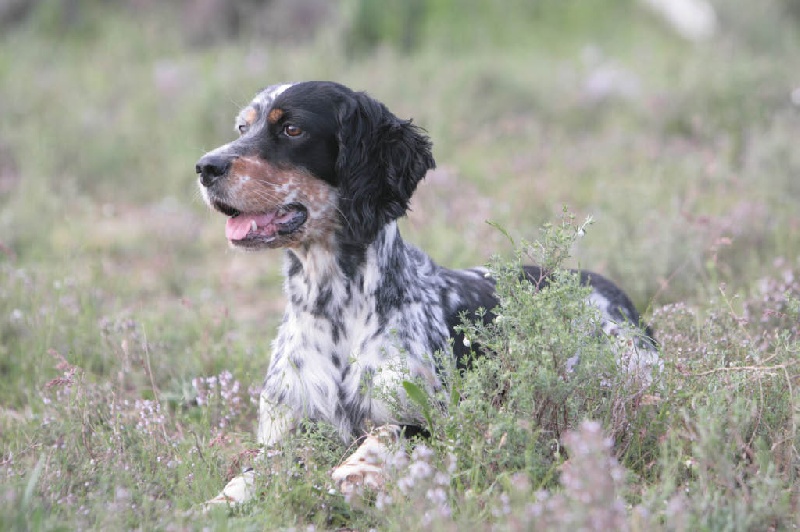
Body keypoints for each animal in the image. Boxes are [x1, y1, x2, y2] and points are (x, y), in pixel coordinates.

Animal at [194, 81, 656, 504]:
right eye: (243, 126)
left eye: (291, 129)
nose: (205, 167)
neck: (336, 308)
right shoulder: (285, 433)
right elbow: (246, 477)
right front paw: (220, 503)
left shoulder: (433, 420)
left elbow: (387, 433)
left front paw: (352, 471)